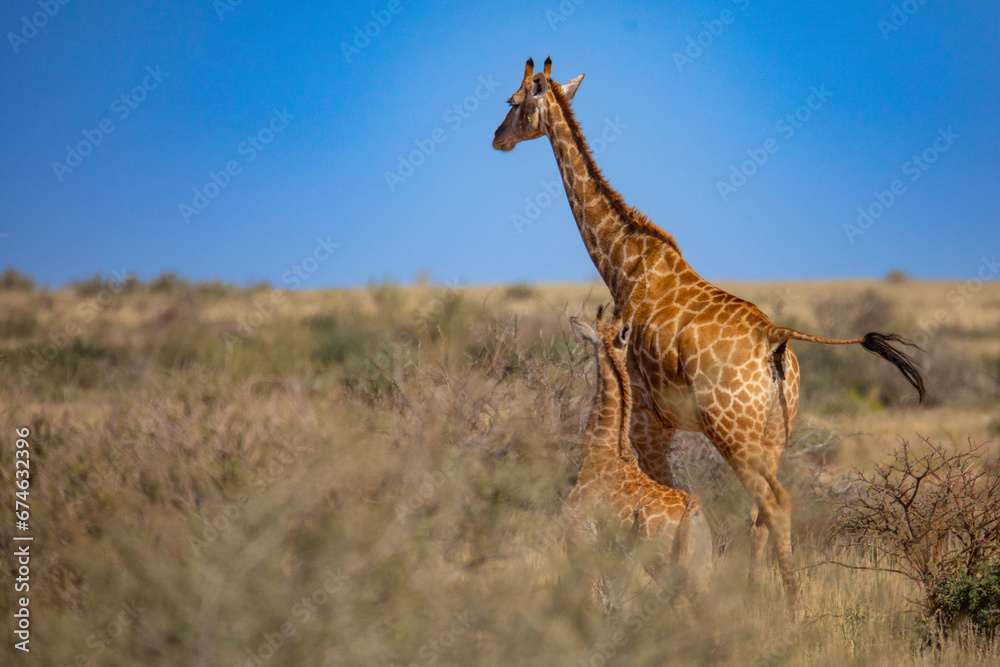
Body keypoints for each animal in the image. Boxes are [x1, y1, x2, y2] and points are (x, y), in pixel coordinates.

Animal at [564, 306, 712, 612]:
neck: (600, 449)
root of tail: (694, 508)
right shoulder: (618, 559)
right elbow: (614, 603)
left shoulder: (579, 541)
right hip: (703, 569)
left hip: (663, 564)